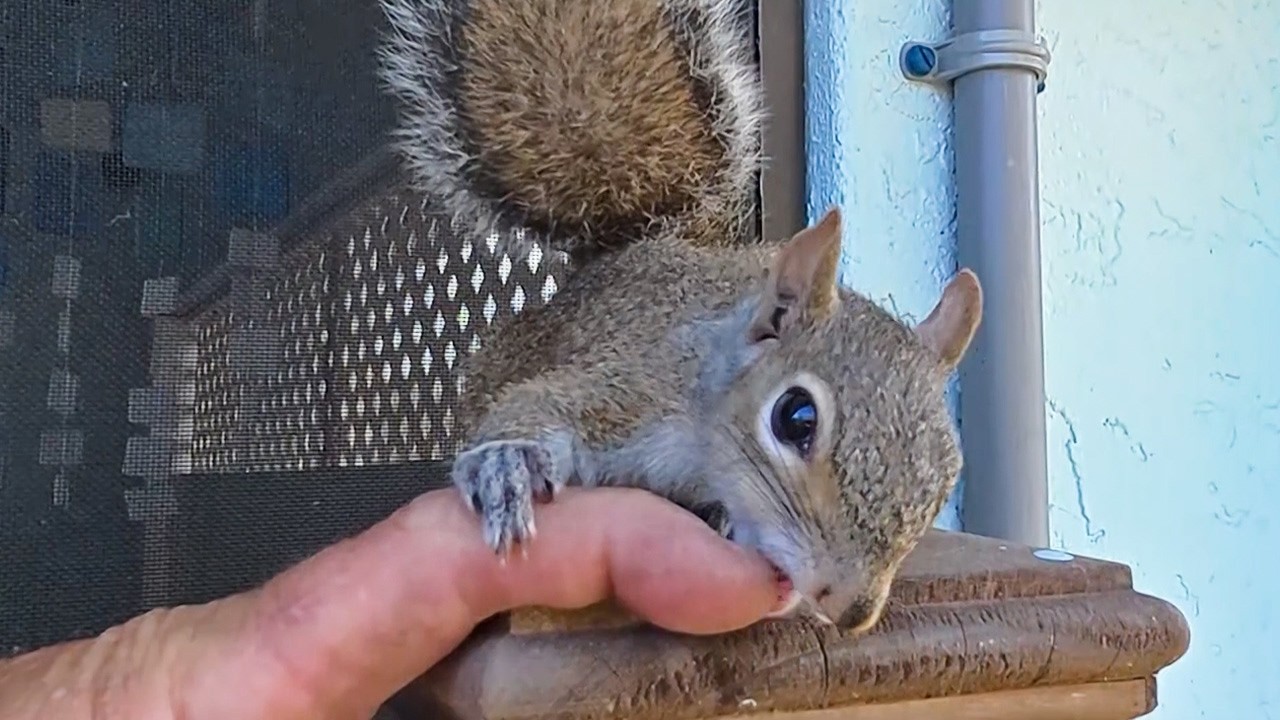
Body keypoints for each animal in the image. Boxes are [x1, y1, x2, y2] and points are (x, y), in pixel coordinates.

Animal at [377, 0, 984, 632]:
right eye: (795, 418)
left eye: (948, 475)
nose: (850, 612)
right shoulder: (633, 389)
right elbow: (531, 408)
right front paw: (506, 466)